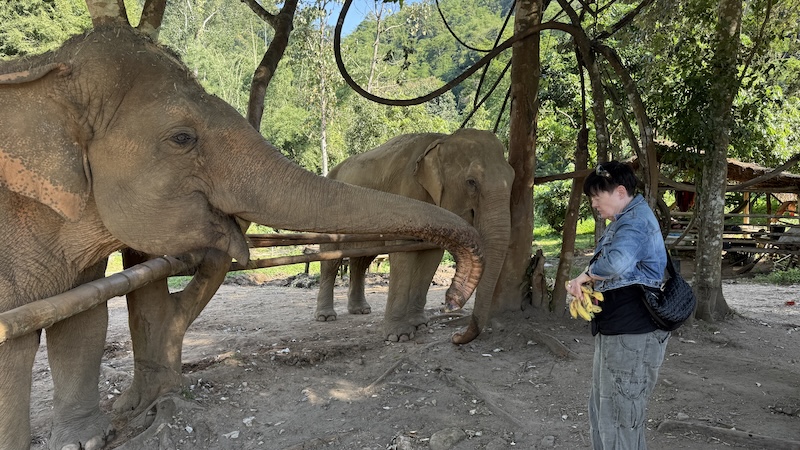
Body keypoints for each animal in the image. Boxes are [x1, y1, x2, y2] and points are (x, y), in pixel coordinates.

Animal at [0, 26, 484, 450]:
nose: (453, 304)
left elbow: (83, 320)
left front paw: (85, 440)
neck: (43, 69)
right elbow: (15, 347)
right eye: (182, 138)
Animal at [315, 129, 514, 341]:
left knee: (362, 259)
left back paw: (360, 310)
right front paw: (399, 336)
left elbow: (431, 256)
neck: (441, 141)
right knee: (332, 259)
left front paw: (420, 324)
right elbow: (403, 256)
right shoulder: (405, 192)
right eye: (471, 182)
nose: (456, 337)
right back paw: (326, 316)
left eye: (513, 178)